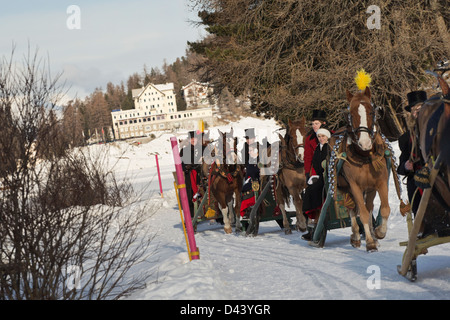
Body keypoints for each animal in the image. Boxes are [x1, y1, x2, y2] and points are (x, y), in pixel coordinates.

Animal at [330, 86, 390, 251]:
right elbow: (361, 213)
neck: (364, 156)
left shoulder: (380, 182)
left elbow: (384, 209)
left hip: (369, 189)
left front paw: (379, 233)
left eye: (371, 112)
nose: (365, 142)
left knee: (369, 207)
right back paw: (356, 236)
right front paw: (369, 243)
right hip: (346, 188)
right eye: (351, 114)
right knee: (353, 210)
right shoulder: (354, 186)